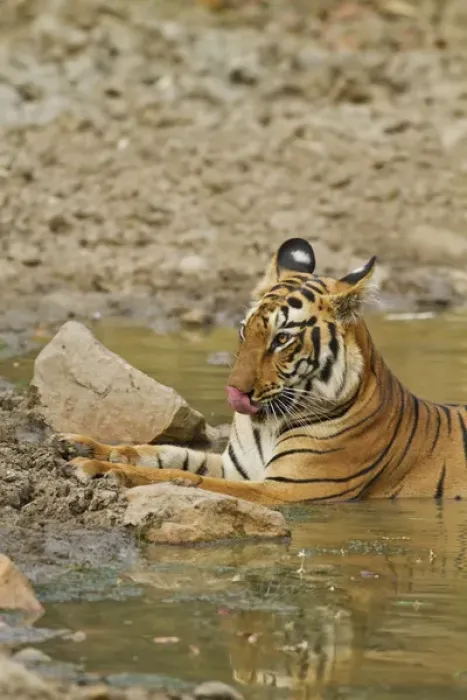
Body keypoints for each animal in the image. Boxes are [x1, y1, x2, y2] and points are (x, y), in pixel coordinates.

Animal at [59, 237, 467, 503]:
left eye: (282, 338)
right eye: (245, 330)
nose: (234, 391)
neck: (266, 424)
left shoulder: (284, 488)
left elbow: (178, 474)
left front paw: (101, 470)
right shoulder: (236, 468)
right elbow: (167, 454)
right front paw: (82, 445)